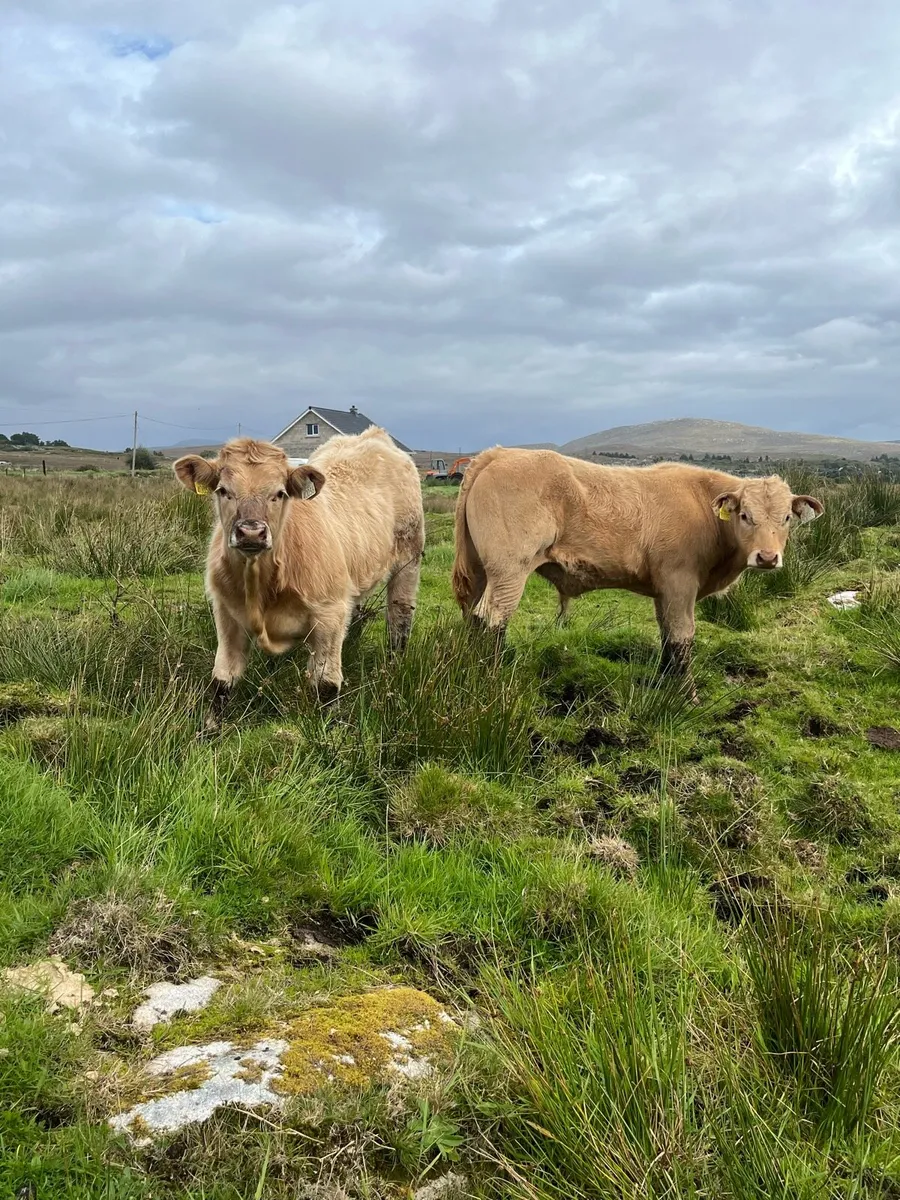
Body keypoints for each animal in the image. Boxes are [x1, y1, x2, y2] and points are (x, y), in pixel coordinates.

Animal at [174, 430, 424, 728]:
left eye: (279, 493)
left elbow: (326, 683)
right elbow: (223, 680)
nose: (251, 532)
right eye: (223, 491)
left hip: (409, 559)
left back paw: (395, 664)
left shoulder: (330, 614)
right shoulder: (226, 614)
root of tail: (372, 436)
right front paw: (209, 729)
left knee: (400, 616)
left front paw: (329, 730)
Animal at [451, 448, 823, 693]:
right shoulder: (679, 581)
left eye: (786, 518)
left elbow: (667, 636)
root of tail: (500, 453)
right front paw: (685, 696)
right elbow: (683, 636)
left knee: (471, 615)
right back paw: (491, 680)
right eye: (745, 515)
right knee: (492, 619)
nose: (767, 557)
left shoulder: (664, 590)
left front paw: (665, 684)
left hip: (480, 571)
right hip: (508, 572)